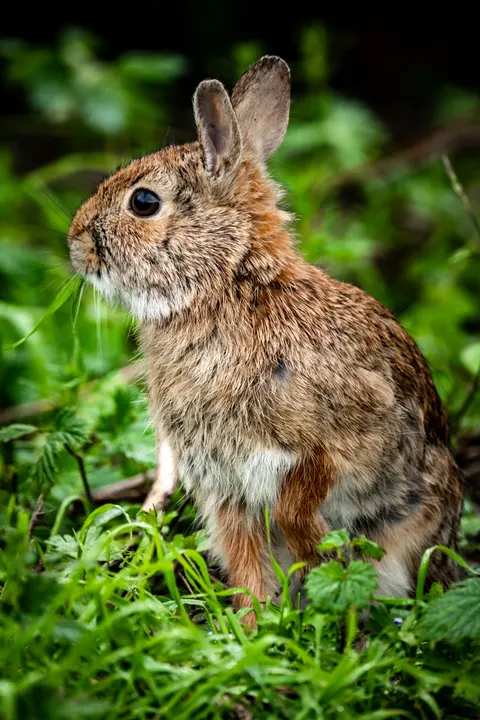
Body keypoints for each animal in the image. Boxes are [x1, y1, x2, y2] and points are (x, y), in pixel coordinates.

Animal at [69, 56, 464, 625]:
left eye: (143, 202)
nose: (75, 245)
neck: (231, 284)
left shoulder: (337, 439)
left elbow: (301, 505)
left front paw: (312, 559)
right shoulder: (226, 489)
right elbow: (247, 563)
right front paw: (251, 625)